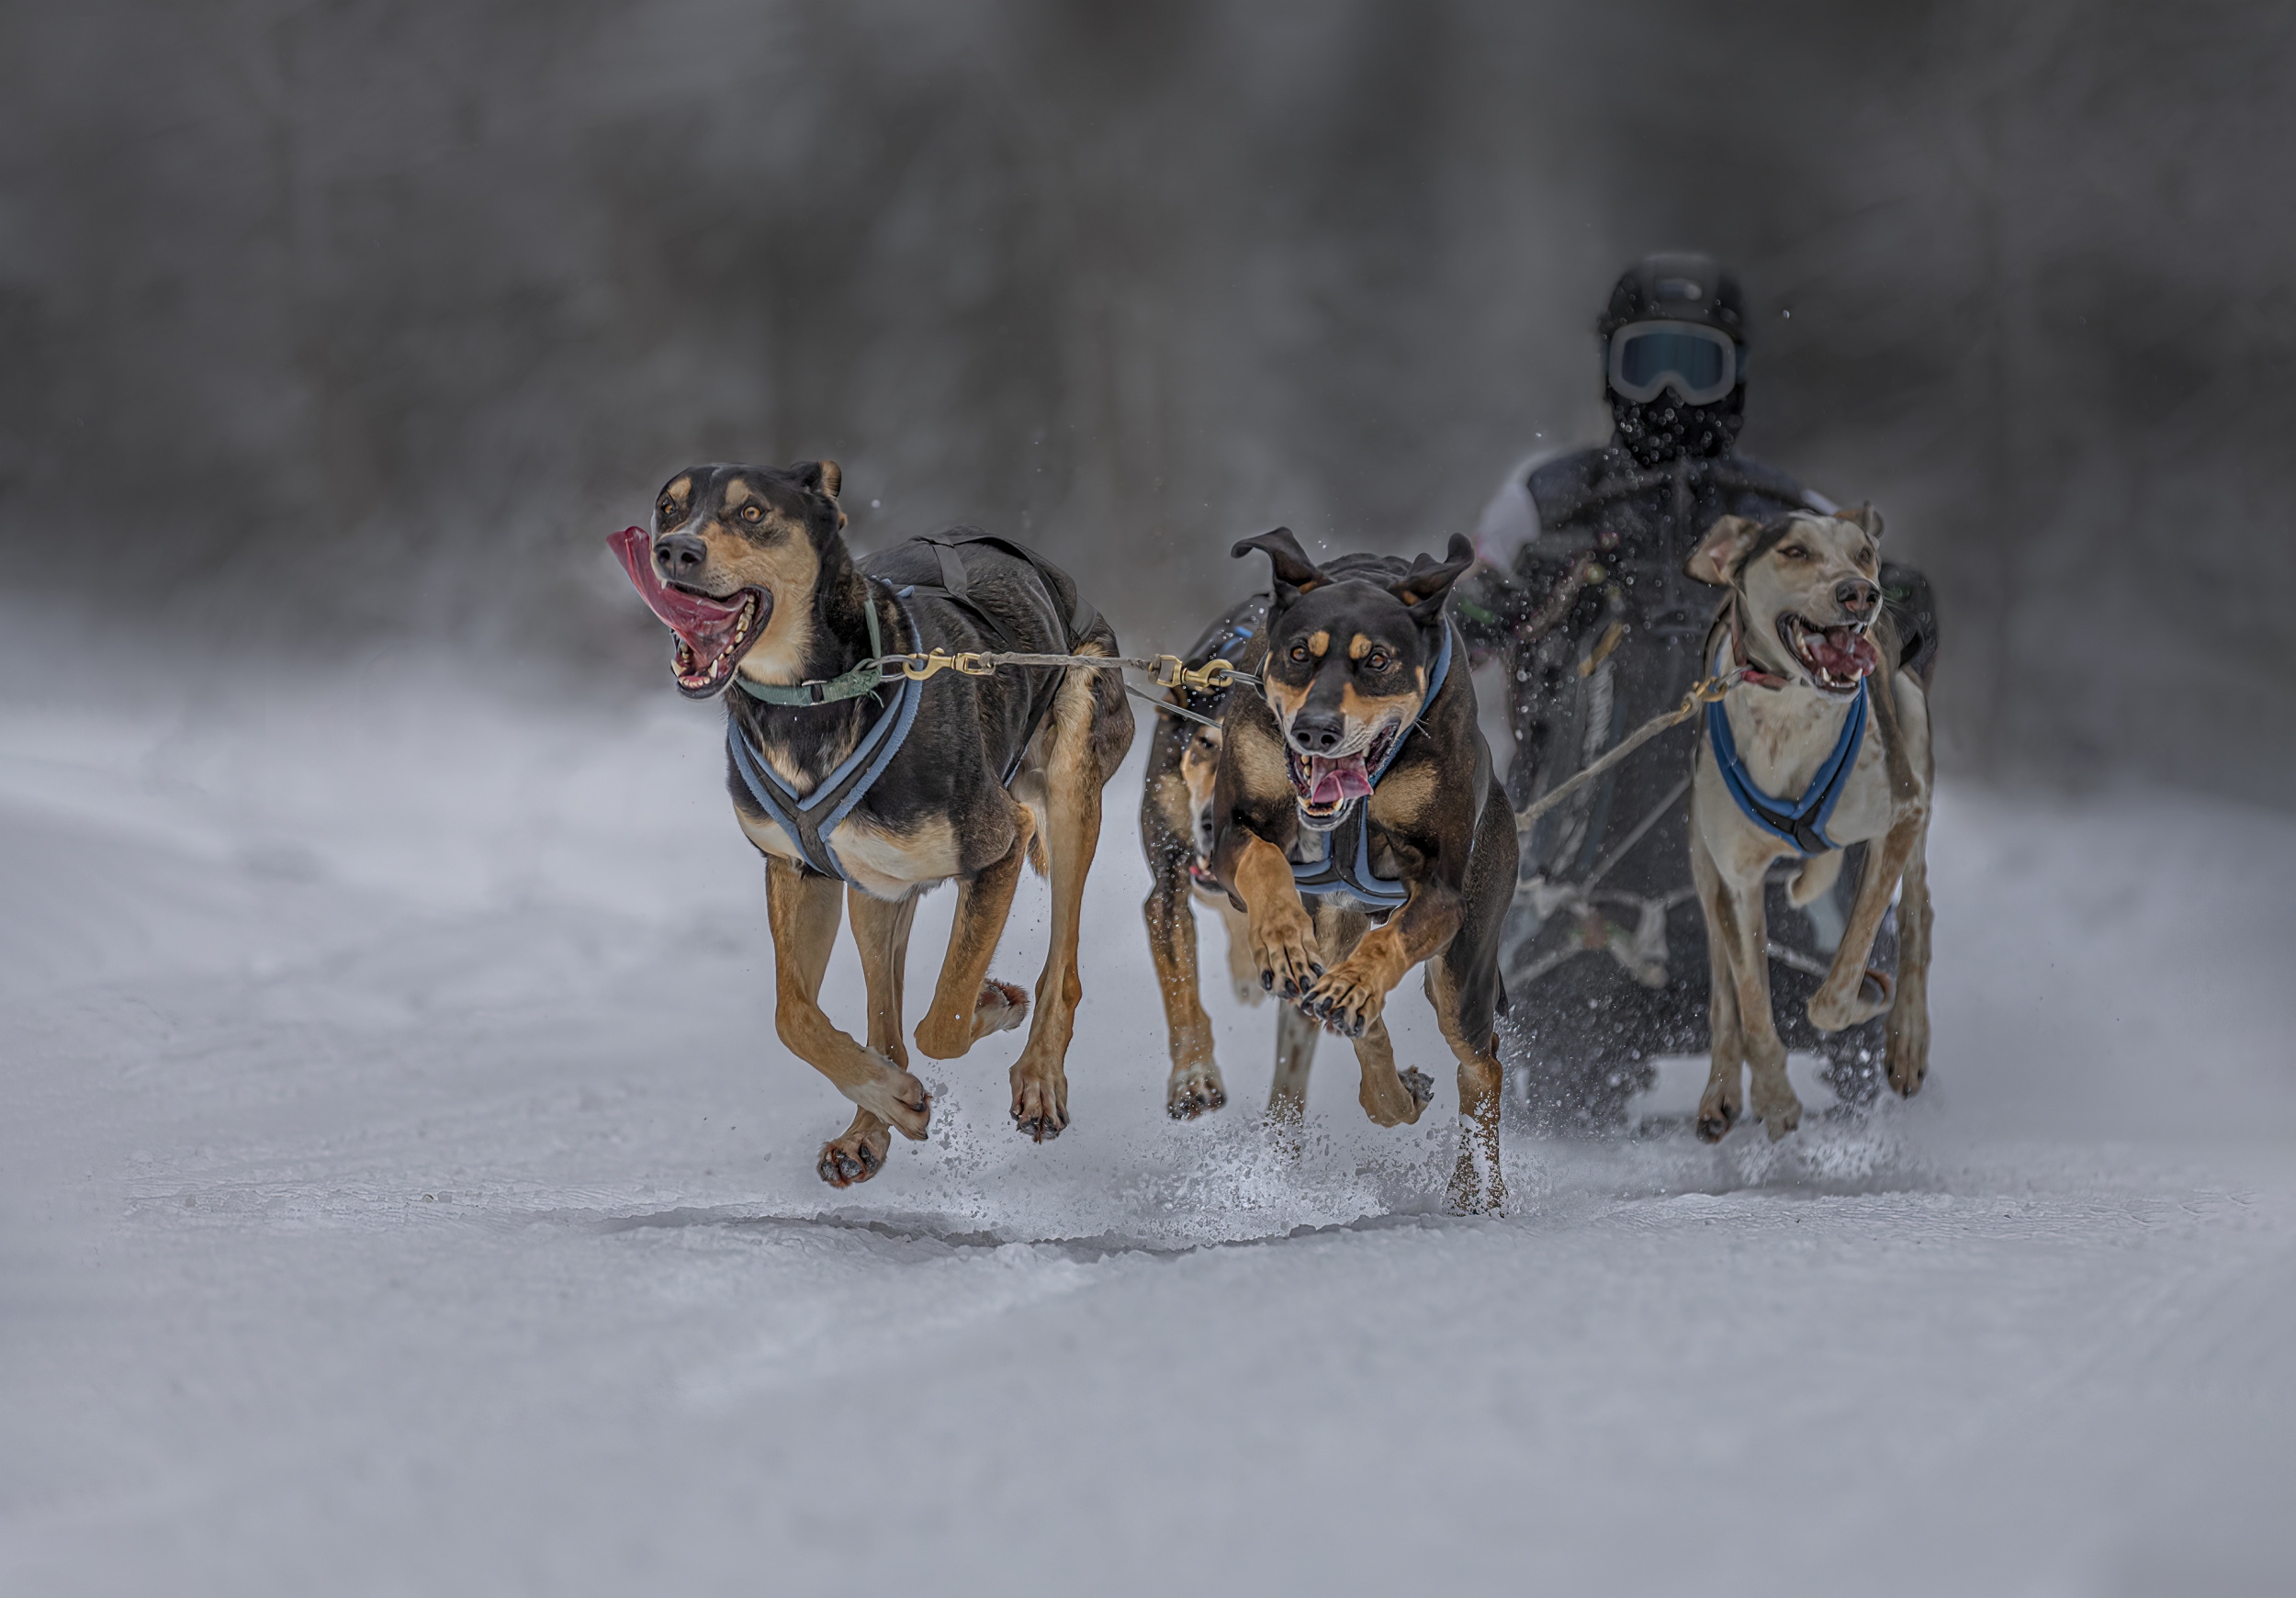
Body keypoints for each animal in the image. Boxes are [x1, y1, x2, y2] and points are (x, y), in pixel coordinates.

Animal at [611, 461, 1130, 1185]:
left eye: (751, 513)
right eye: (668, 507)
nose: (673, 551)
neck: (811, 697)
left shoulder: (999, 845)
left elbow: (945, 1018)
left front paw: (992, 1005)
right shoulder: (797, 870)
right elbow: (793, 1015)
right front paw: (885, 1096)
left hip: (1072, 780)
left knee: (1062, 969)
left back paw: (1037, 1077)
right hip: (874, 891)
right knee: (884, 1021)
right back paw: (869, 1125)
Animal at [1157, 530, 1515, 1203]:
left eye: (1377, 660)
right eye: (1299, 652)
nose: (1315, 731)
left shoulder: (1442, 891)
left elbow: (1392, 941)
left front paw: (1353, 984)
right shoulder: (1235, 832)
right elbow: (1266, 864)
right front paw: (1282, 944)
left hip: (1464, 972)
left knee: (1482, 1065)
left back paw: (1476, 1189)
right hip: (1335, 925)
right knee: (1353, 1020)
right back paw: (1387, 1087)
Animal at [1690, 505, 1938, 1143]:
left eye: (1863, 553)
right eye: (1795, 551)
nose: (1860, 594)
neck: (1788, 720)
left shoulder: (1900, 816)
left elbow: (1839, 983)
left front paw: (1869, 1000)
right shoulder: (1738, 880)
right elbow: (1751, 1001)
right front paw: (1773, 1098)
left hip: (1915, 756)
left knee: (1918, 913)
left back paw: (1906, 1036)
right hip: (1701, 860)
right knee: (1721, 986)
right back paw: (1720, 1088)